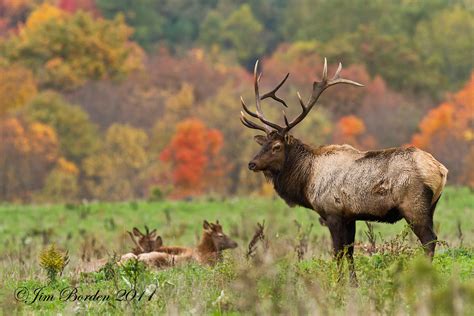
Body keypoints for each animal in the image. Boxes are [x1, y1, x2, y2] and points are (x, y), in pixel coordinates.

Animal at [241, 58, 448, 284]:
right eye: (263, 144)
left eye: (276, 147)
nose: (252, 163)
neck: (307, 180)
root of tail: (441, 169)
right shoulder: (350, 216)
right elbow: (349, 252)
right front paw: (353, 284)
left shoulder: (332, 212)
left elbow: (337, 252)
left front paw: (338, 284)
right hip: (431, 206)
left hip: (414, 205)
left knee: (429, 240)